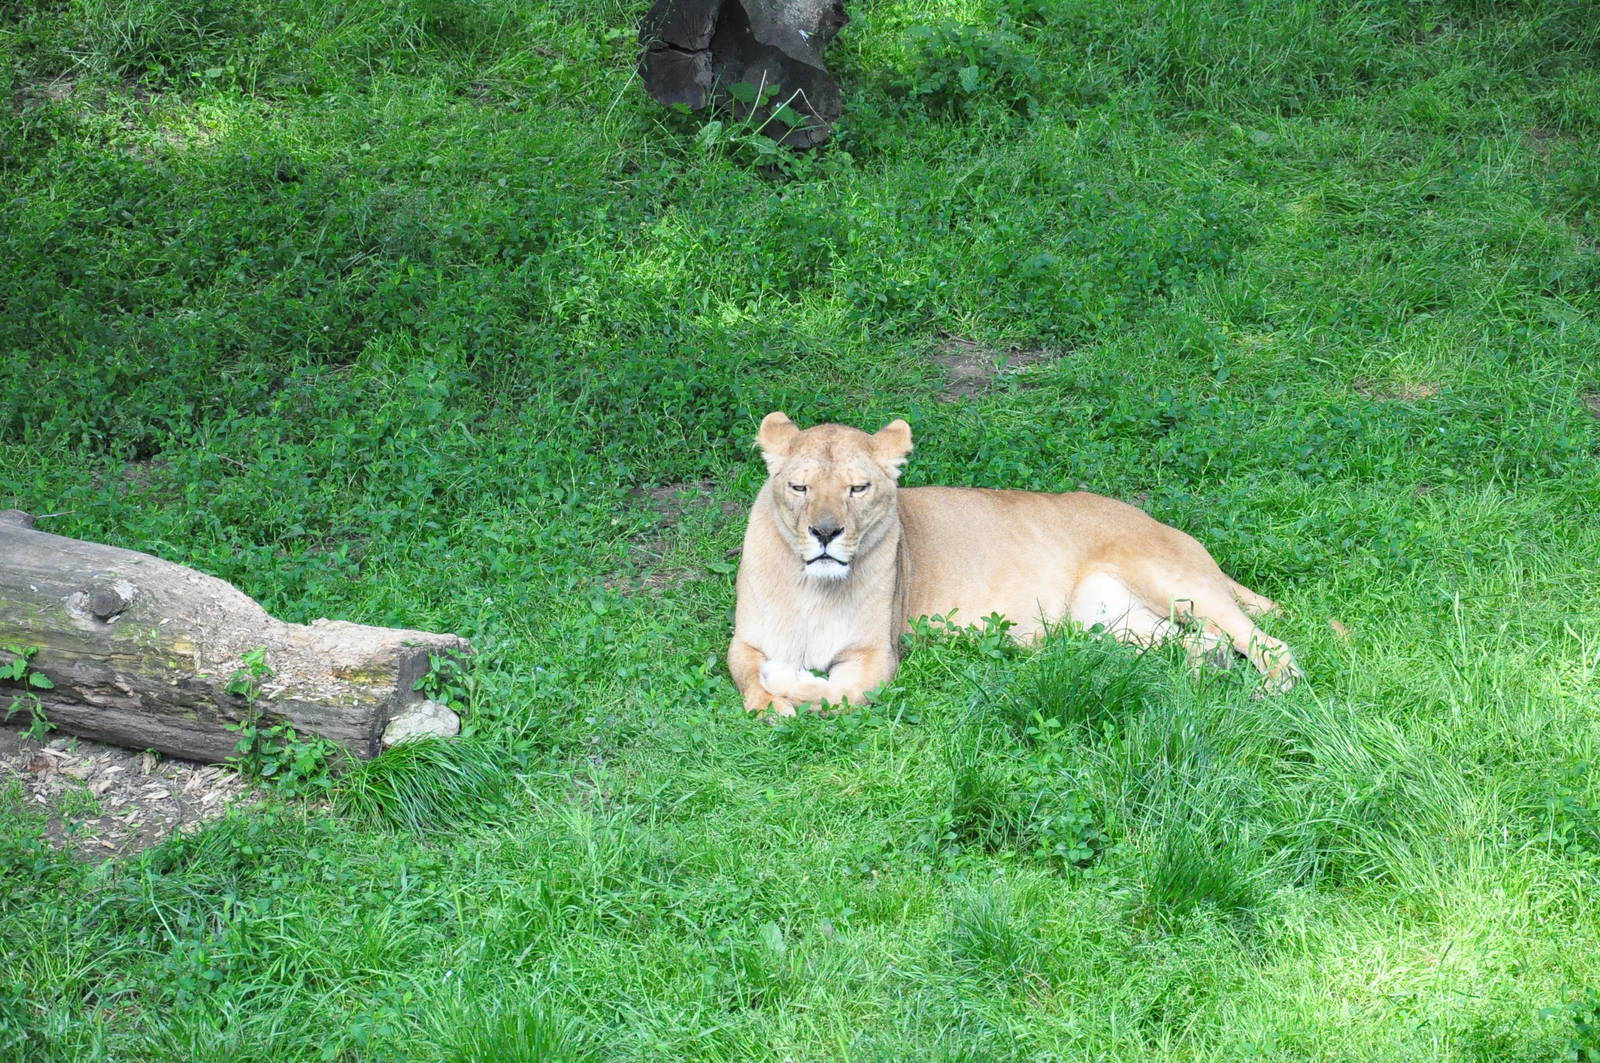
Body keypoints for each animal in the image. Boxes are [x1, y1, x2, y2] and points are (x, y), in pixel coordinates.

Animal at [728, 411, 1300, 715]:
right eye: (799, 487)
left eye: (858, 488)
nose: (825, 533)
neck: (813, 588)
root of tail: (1159, 521)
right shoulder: (744, 642)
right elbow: (750, 678)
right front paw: (773, 704)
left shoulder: (878, 654)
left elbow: (840, 692)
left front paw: (787, 683)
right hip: (1112, 625)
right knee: (1203, 643)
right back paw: (1202, 677)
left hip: (1169, 578)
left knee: (1271, 643)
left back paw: (1270, 694)